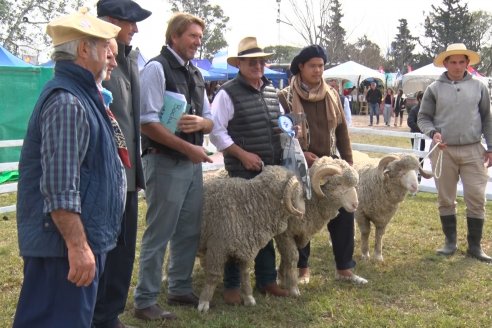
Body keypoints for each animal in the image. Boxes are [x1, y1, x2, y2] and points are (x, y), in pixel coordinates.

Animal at [196, 165, 304, 312]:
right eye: (299, 194)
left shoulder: (246, 248)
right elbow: (213, 275)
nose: (303, 211)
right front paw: (204, 303)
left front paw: (249, 298)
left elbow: (245, 274)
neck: (251, 203)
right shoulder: (217, 247)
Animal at [274, 156, 360, 298]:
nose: (355, 205)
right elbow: (292, 257)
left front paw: (281, 278)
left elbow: (286, 257)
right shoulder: (284, 234)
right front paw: (293, 288)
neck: (309, 201)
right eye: (339, 184)